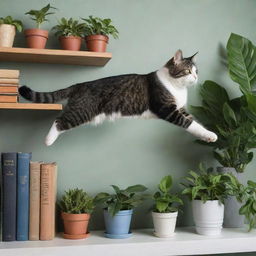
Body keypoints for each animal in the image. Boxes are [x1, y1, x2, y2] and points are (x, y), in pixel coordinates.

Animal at [18, 49, 218, 146]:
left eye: (196, 71)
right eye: (187, 71)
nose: (196, 78)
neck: (178, 88)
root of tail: (78, 85)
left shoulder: (180, 108)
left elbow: (194, 122)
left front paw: (208, 135)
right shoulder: (167, 109)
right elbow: (188, 123)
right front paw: (208, 135)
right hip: (82, 111)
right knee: (59, 121)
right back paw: (48, 140)